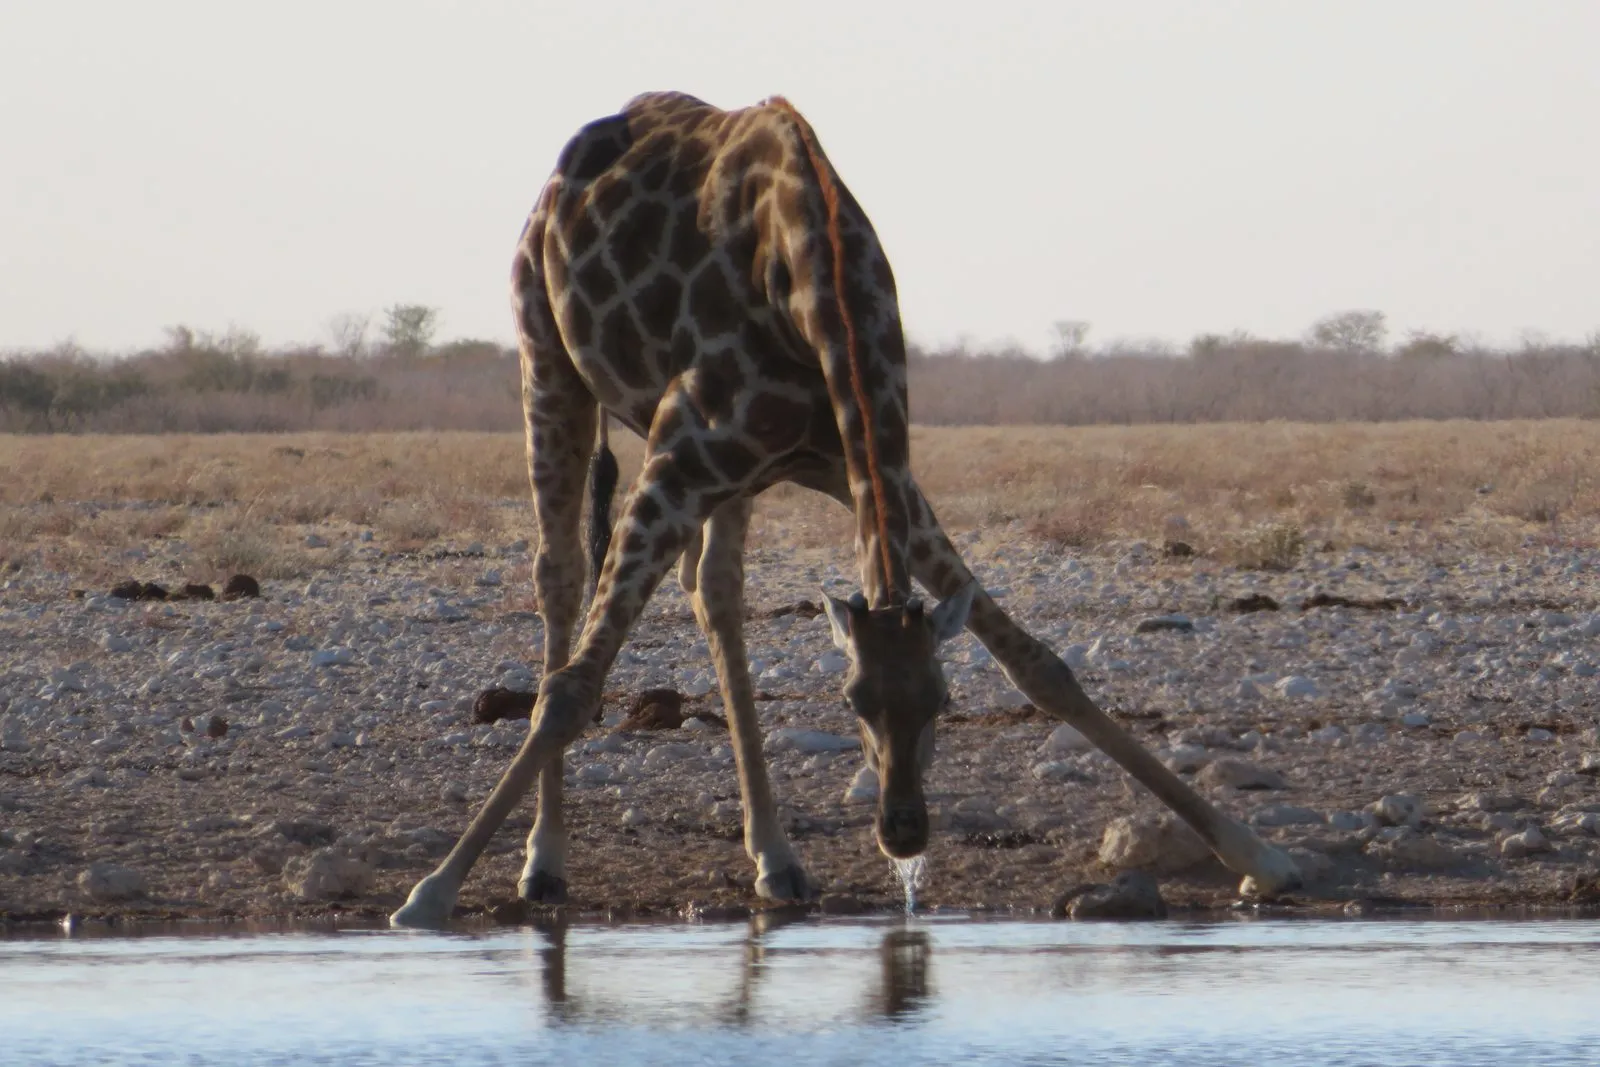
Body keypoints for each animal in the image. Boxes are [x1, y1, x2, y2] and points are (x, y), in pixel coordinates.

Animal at [390, 92, 1299, 927]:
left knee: (715, 593)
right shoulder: (677, 463)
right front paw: (429, 893)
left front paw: (1256, 854)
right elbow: (574, 690)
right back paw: (542, 865)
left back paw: (777, 861)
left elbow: (1040, 665)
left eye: (942, 699)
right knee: (561, 578)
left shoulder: (863, 468)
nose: (903, 833)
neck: (814, 285)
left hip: (730, 478)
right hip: (547, 359)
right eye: (853, 701)